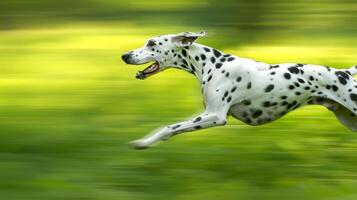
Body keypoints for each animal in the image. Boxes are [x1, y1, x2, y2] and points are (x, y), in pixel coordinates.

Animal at [121, 31, 356, 149]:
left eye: (151, 43)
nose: (124, 55)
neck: (212, 64)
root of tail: (344, 72)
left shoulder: (215, 116)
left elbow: (169, 127)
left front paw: (144, 142)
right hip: (349, 121)